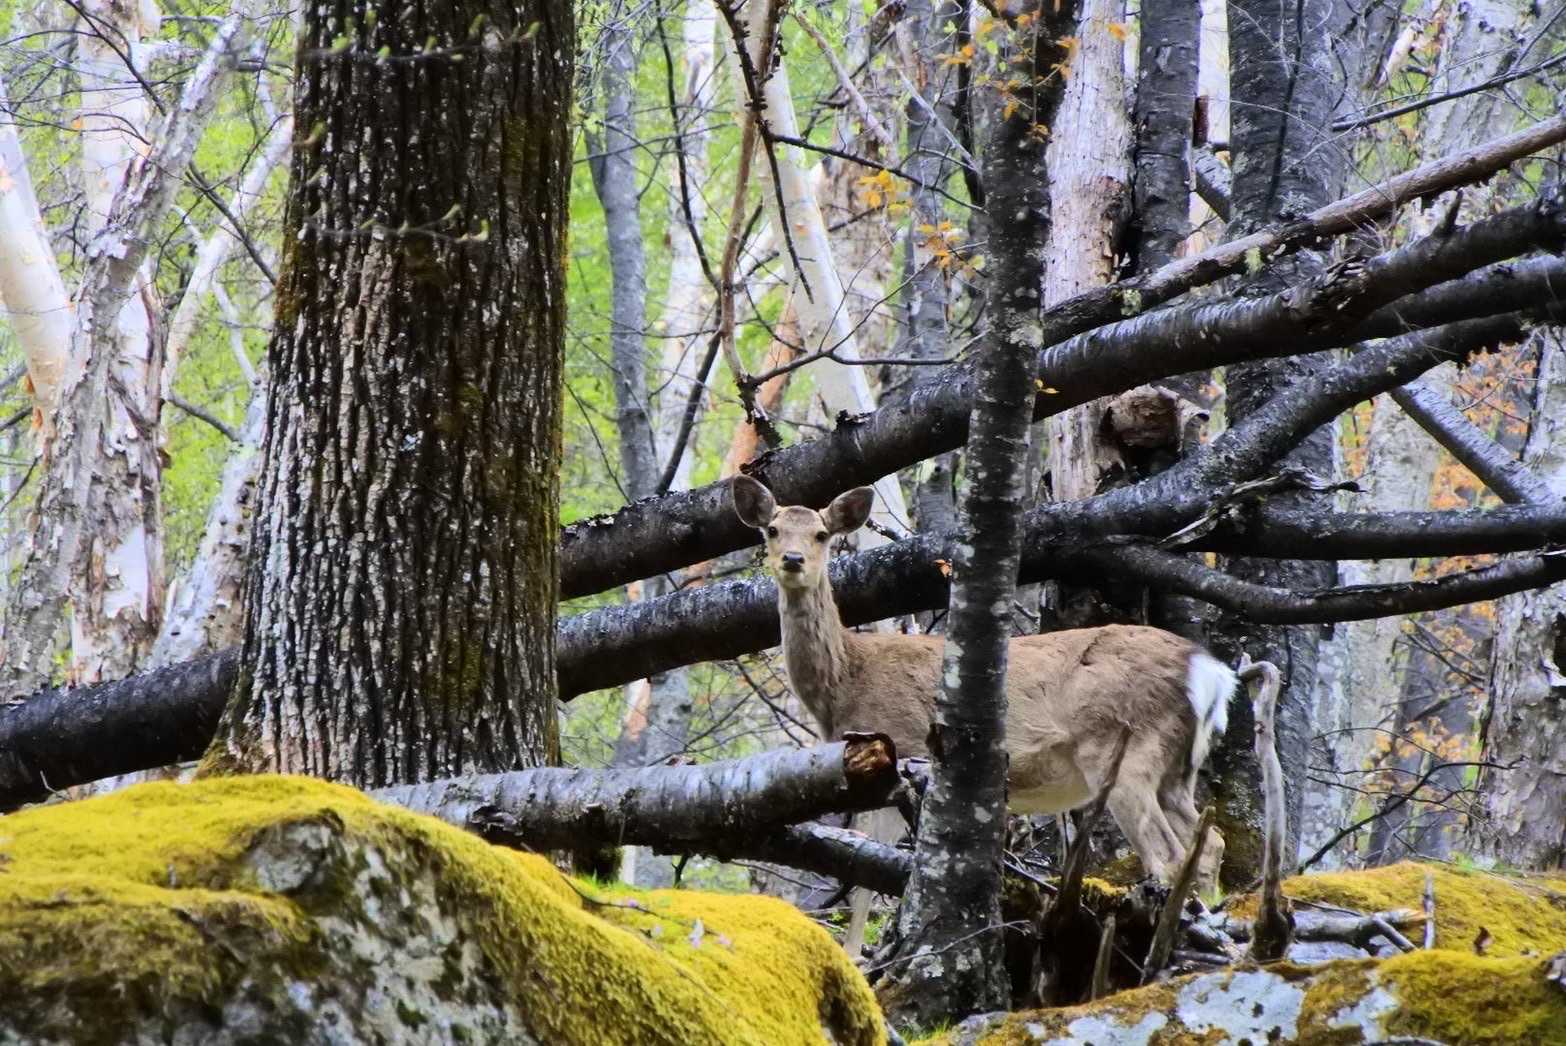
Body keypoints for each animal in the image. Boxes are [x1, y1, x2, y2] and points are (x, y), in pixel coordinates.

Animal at [731, 474, 1236, 954]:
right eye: (772, 529)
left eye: (821, 534)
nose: (792, 559)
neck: (846, 681)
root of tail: (1208, 669)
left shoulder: (898, 751)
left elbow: (865, 883)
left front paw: (861, 954)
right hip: (1177, 764)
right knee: (1209, 841)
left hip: (1124, 748)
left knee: (1166, 854)